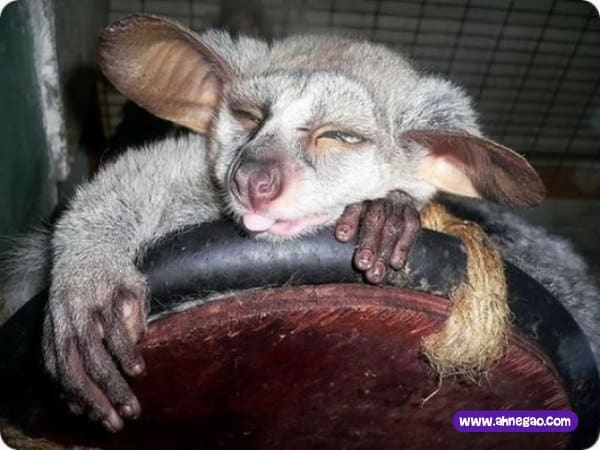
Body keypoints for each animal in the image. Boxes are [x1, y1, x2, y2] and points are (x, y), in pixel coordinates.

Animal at [0, 14, 598, 434]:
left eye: (340, 137)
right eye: (248, 118)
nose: (251, 179)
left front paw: (387, 213)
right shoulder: (198, 168)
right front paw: (88, 286)